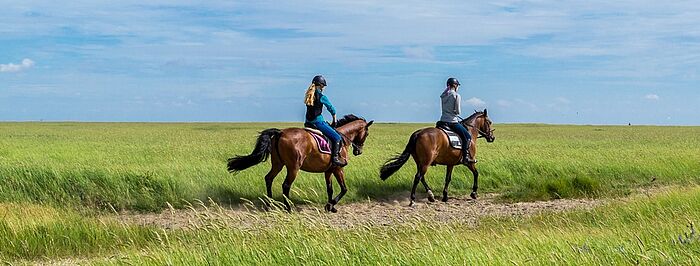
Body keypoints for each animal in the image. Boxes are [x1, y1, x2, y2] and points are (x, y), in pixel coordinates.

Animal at [228, 114, 372, 212]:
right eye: (367, 134)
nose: (358, 151)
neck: (342, 137)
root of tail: (280, 132)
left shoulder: (328, 170)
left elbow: (330, 189)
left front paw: (330, 206)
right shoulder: (338, 169)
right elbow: (344, 189)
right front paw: (330, 205)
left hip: (278, 164)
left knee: (269, 178)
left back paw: (269, 204)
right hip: (293, 168)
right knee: (285, 185)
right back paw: (288, 207)